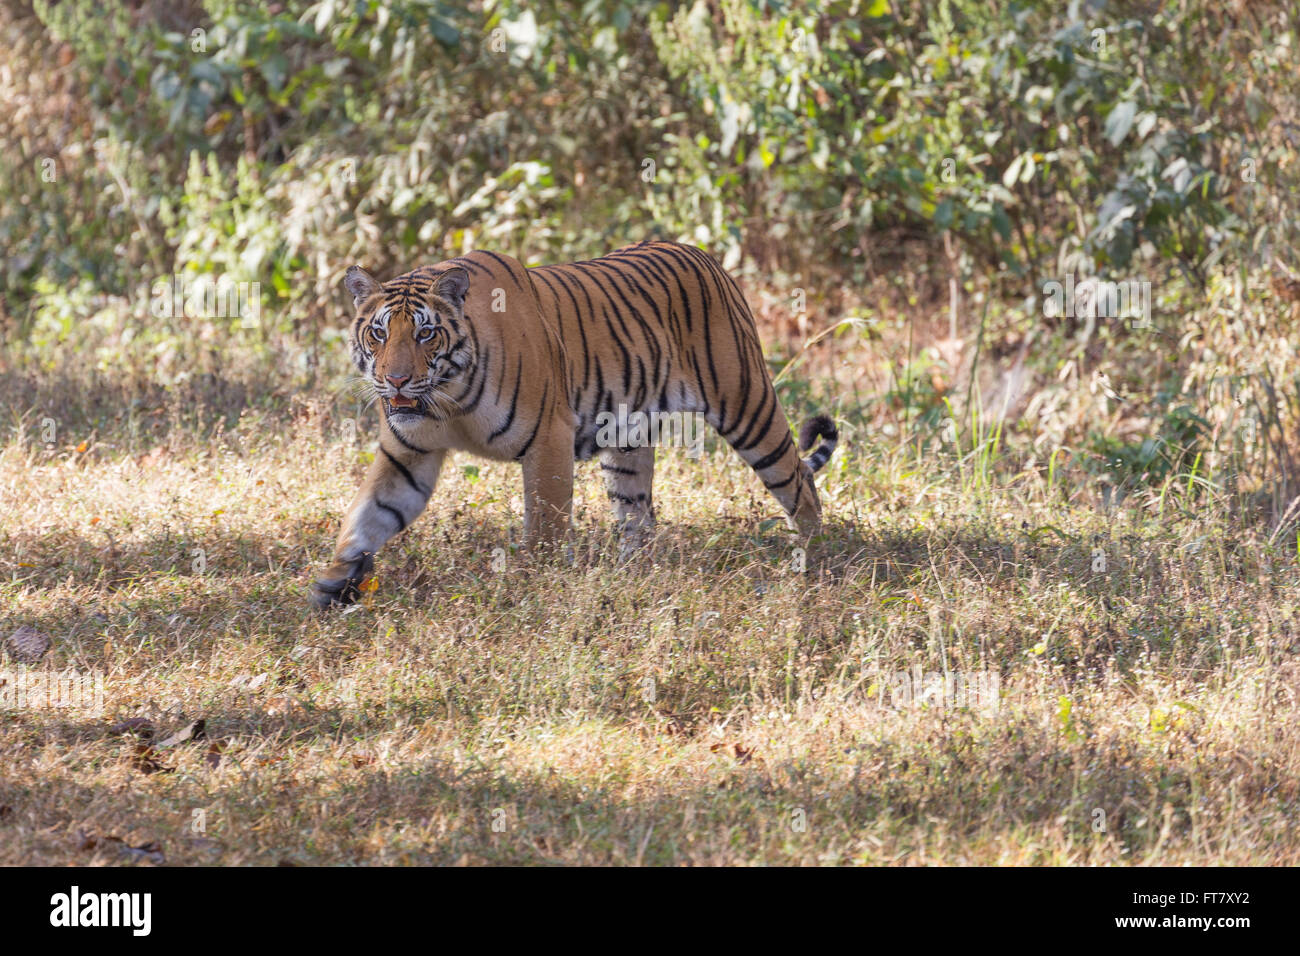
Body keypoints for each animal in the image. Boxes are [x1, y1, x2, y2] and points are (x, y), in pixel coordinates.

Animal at [310, 240, 838, 609]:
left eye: (425, 333)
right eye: (379, 333)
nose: (396, 379)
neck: (447, 399)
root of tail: (706, 257)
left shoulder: (548, 438)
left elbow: (544, 525)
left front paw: (532, 591)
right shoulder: (408, 456)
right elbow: (366, 516)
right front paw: (333, 581)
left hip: (747, 404)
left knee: (799, 482)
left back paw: (814, 565)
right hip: (627, 444)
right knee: (638, 517)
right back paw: (633, 577)